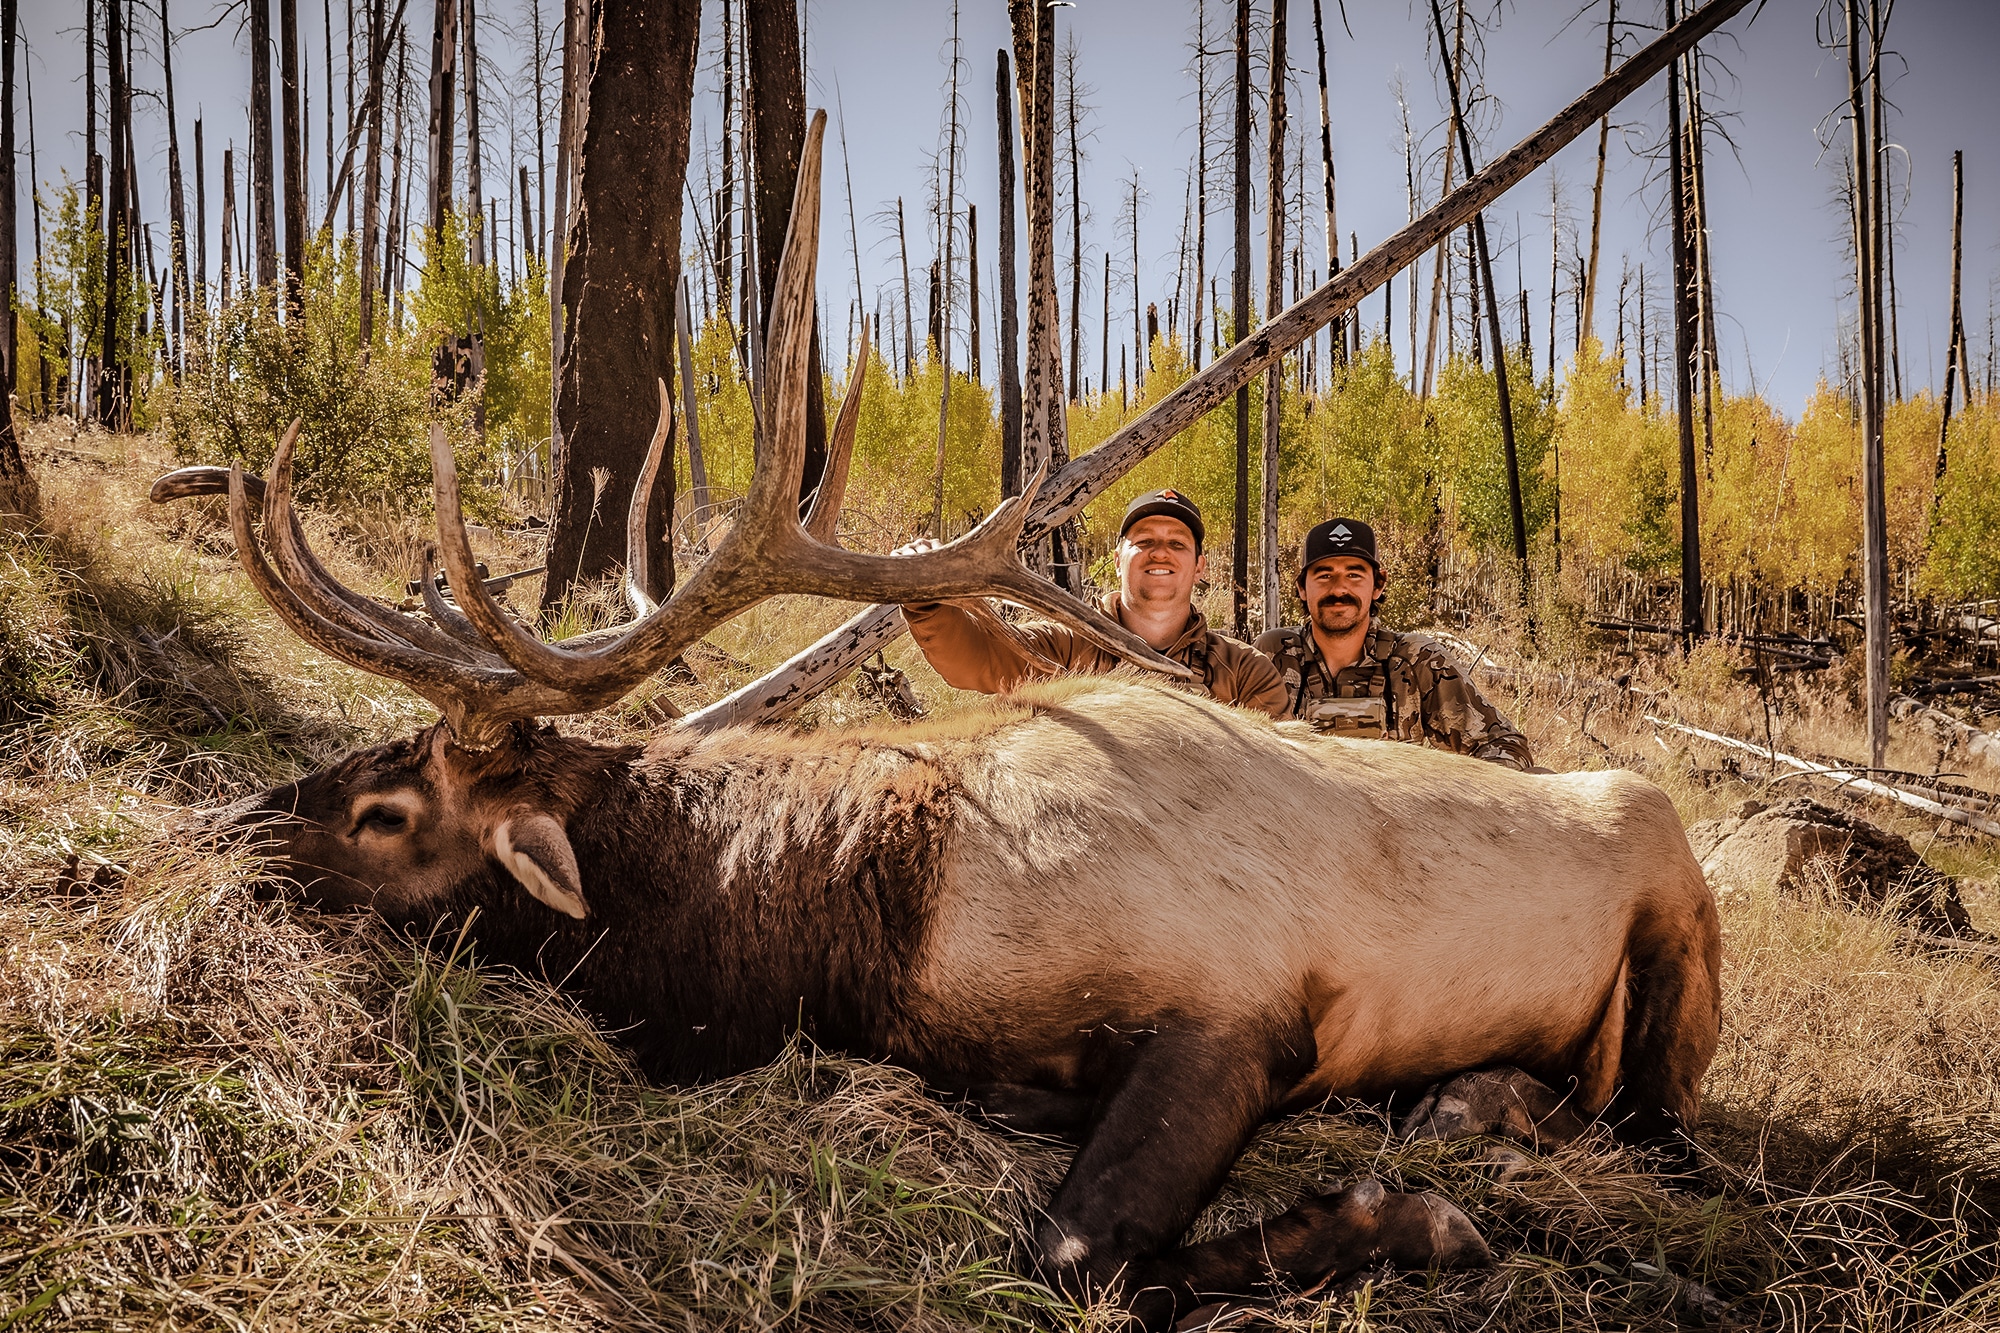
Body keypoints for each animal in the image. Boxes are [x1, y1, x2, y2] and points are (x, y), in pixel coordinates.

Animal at [168, 114, 1720, 1328]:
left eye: (390, 809)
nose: (216, 825)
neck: (869, 921)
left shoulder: (1241, 1013)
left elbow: (1079, 1251)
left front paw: (1418, 1221)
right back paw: (1463, 1102)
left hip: (1672, 945)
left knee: (1655, 1133)